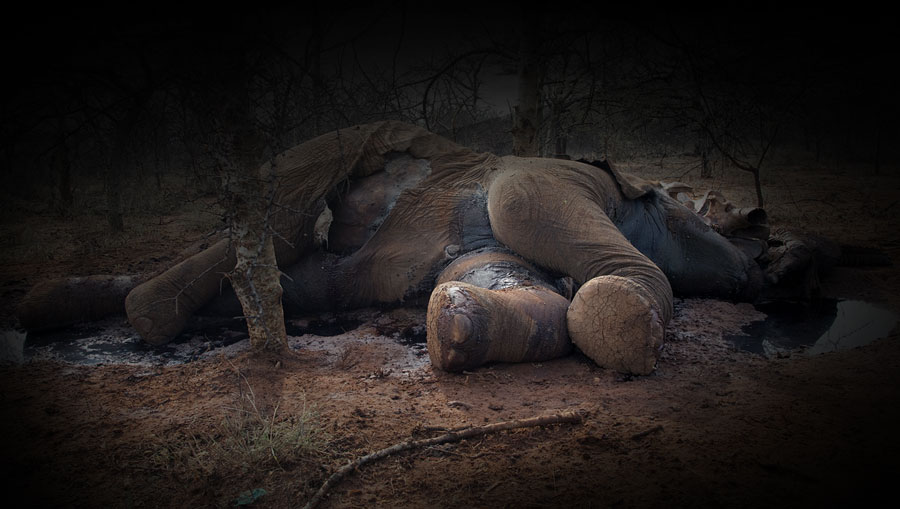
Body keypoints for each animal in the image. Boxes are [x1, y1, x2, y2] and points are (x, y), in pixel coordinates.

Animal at [19, 121, 839, 375]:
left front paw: (453, 331)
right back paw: (142, 310)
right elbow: (523, 205)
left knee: (276, 275)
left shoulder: (493, 256)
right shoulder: (550, 179)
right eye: (740, 225)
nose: (778, 268)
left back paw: (65, 305)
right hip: (348, 154)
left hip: (333, 277)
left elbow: (528, 297)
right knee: (287, 207)